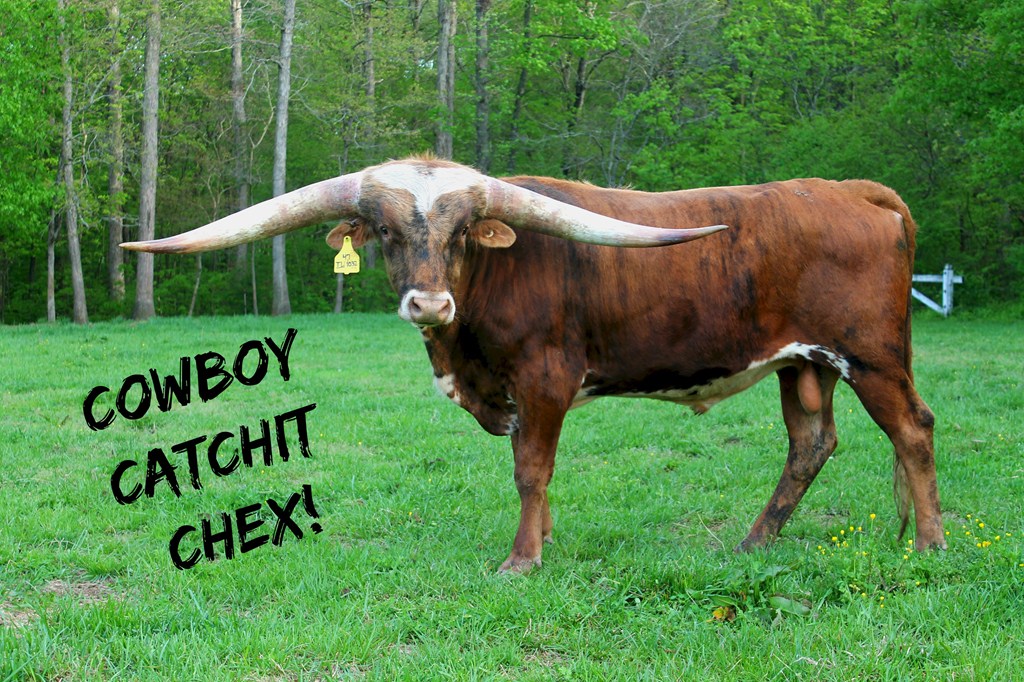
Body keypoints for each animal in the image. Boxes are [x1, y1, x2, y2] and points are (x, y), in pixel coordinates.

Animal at [122, 157, 946, 572]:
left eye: (461, 232)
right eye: (385, 234)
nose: (429, 303)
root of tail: (852, 189)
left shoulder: (544, 378)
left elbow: (531, 470)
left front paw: (522, 560)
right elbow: (530, 468)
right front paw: (543, 541)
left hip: (872, 356)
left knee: (913, 429)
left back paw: (932, 547)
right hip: (802, 363)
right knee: (810, 443)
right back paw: (754, 543)